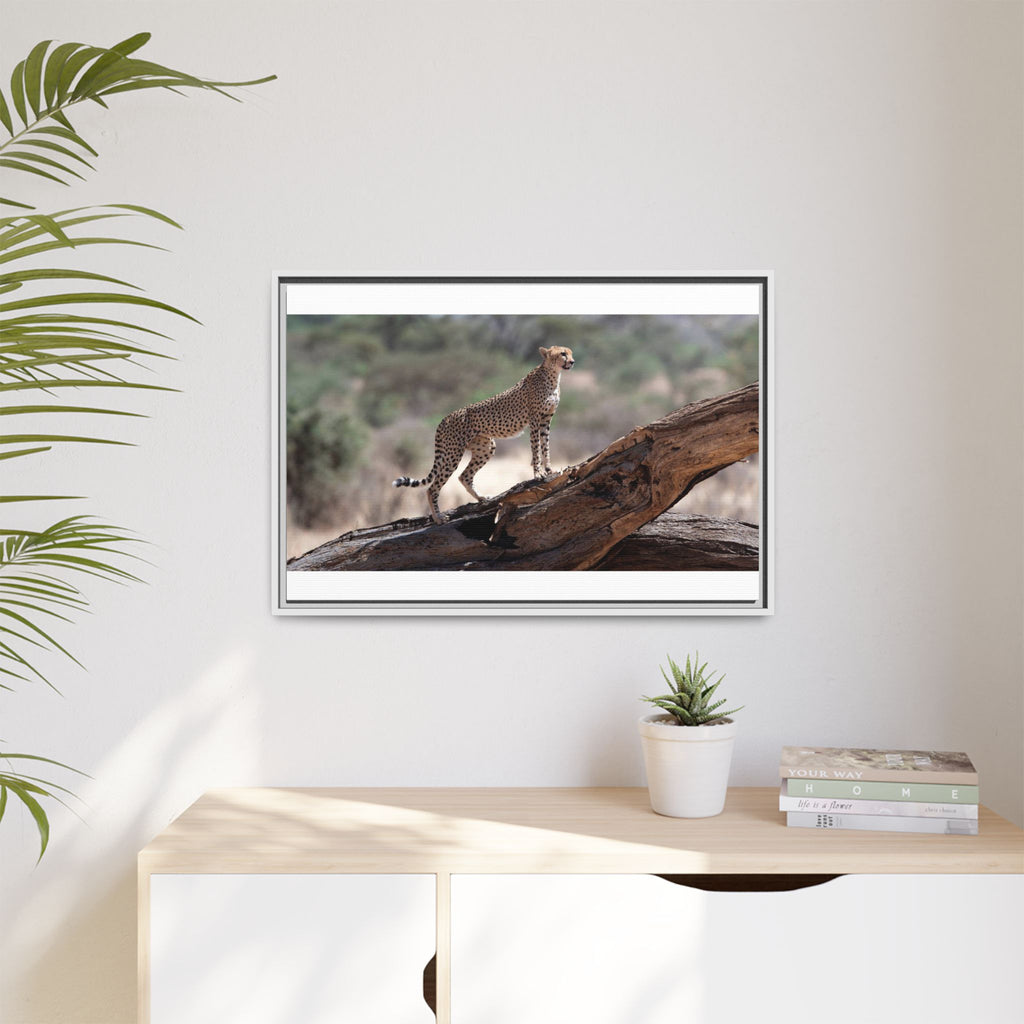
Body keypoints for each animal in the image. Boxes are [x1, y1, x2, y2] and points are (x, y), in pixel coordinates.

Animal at [393, 345, 575, 523]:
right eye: (563, 354)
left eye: (570, 353)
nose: (572, 362)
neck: (553, 375)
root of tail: (445, 418)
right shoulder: (535, 420)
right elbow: (536, 449)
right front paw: (538, 473)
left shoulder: (546, 420)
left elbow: (545, 446)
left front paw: (549, 469)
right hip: (453, 453)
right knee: (432, 488)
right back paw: (439, 517)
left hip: (485, 447)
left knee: (464, 476)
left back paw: (481, 498)